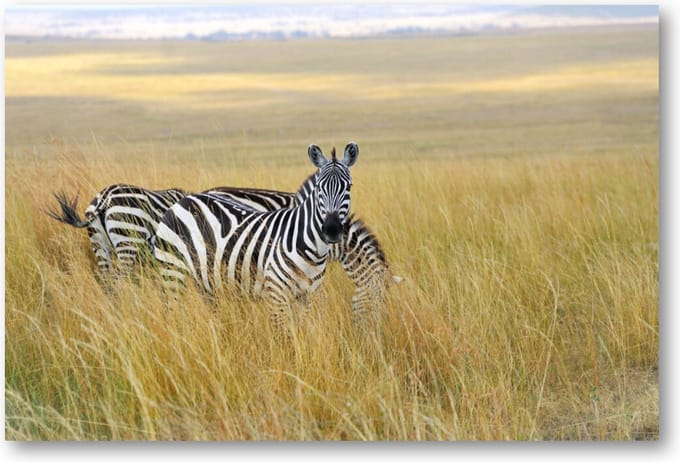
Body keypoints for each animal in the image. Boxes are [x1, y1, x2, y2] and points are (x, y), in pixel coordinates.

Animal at [153, 142, 380, 327]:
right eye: (319, 189)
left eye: (349, 187)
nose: (331, 229)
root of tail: (184, 200)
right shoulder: (276, 295)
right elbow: (284, 339)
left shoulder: (306, 296)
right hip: (172, 272)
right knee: (172, 315)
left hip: (205, 280)